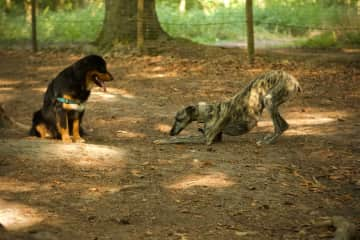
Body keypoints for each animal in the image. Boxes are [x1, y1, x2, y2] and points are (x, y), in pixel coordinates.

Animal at [155, 70, 300, 145]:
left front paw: (161, 140)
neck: (209, 111)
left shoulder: (206, 139)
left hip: (268, 100)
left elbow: (182, 138)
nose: (170, 132)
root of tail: (295, 81)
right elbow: (188, 136)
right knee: (284, 125)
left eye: (178, 119)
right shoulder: (216, 138)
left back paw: (267, 141)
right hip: (272, 103)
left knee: (280, 126)